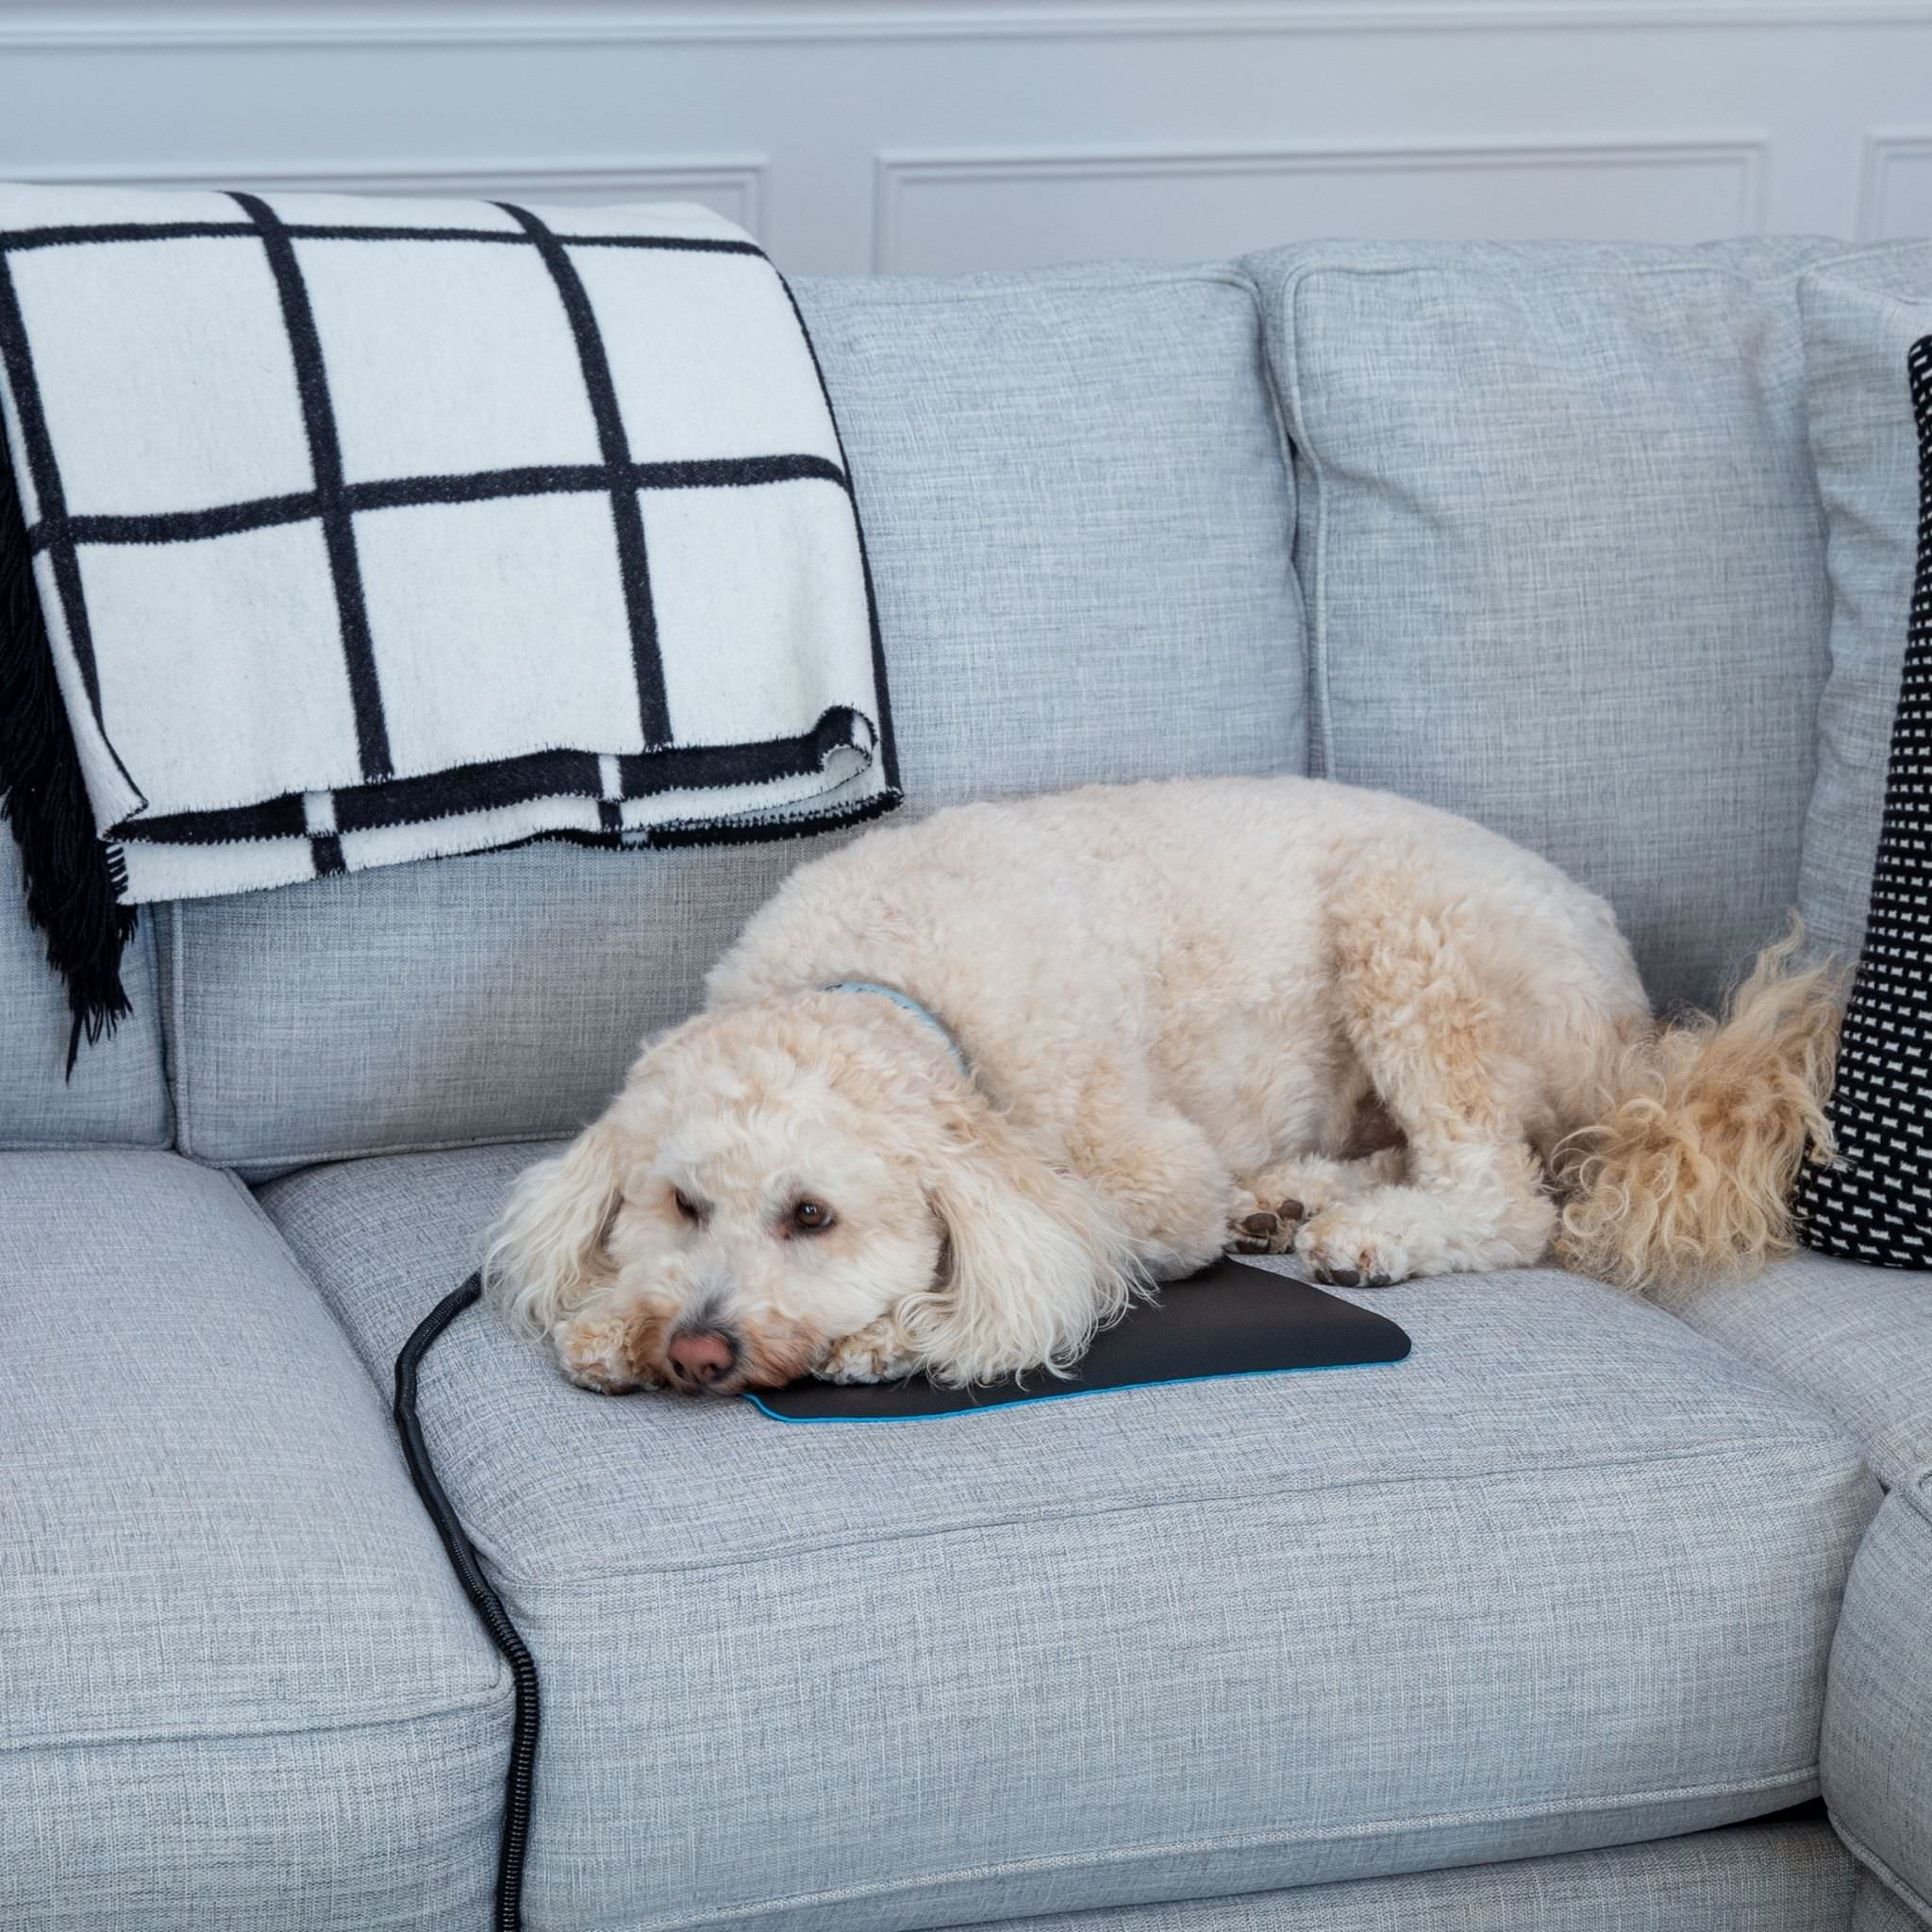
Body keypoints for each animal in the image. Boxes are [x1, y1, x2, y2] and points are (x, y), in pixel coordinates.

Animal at [487, 776, 1839, 1398]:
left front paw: (885, 1331)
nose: (696, 1349)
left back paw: (1368, 1234)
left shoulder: (1135, 1180)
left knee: (1503, 1192)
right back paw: (1291, 1199)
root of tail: (1631, 1024)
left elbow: (1054, 1259)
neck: (888, 976)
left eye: (810, 1215)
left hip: (1409, 928)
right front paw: (605, 1318)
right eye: (681, 1206)